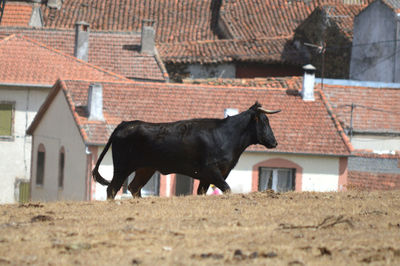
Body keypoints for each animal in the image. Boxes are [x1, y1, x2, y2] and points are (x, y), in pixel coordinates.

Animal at [92, 101, 280, 197]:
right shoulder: (212, 171)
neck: (226, 135)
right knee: (112, 188)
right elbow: (227, 189)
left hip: (146, 168)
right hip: (123, 166)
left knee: (134, 187)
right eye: (264, 121)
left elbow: (201, 192)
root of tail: (124, 124)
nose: (274, 142)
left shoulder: (212, 175)